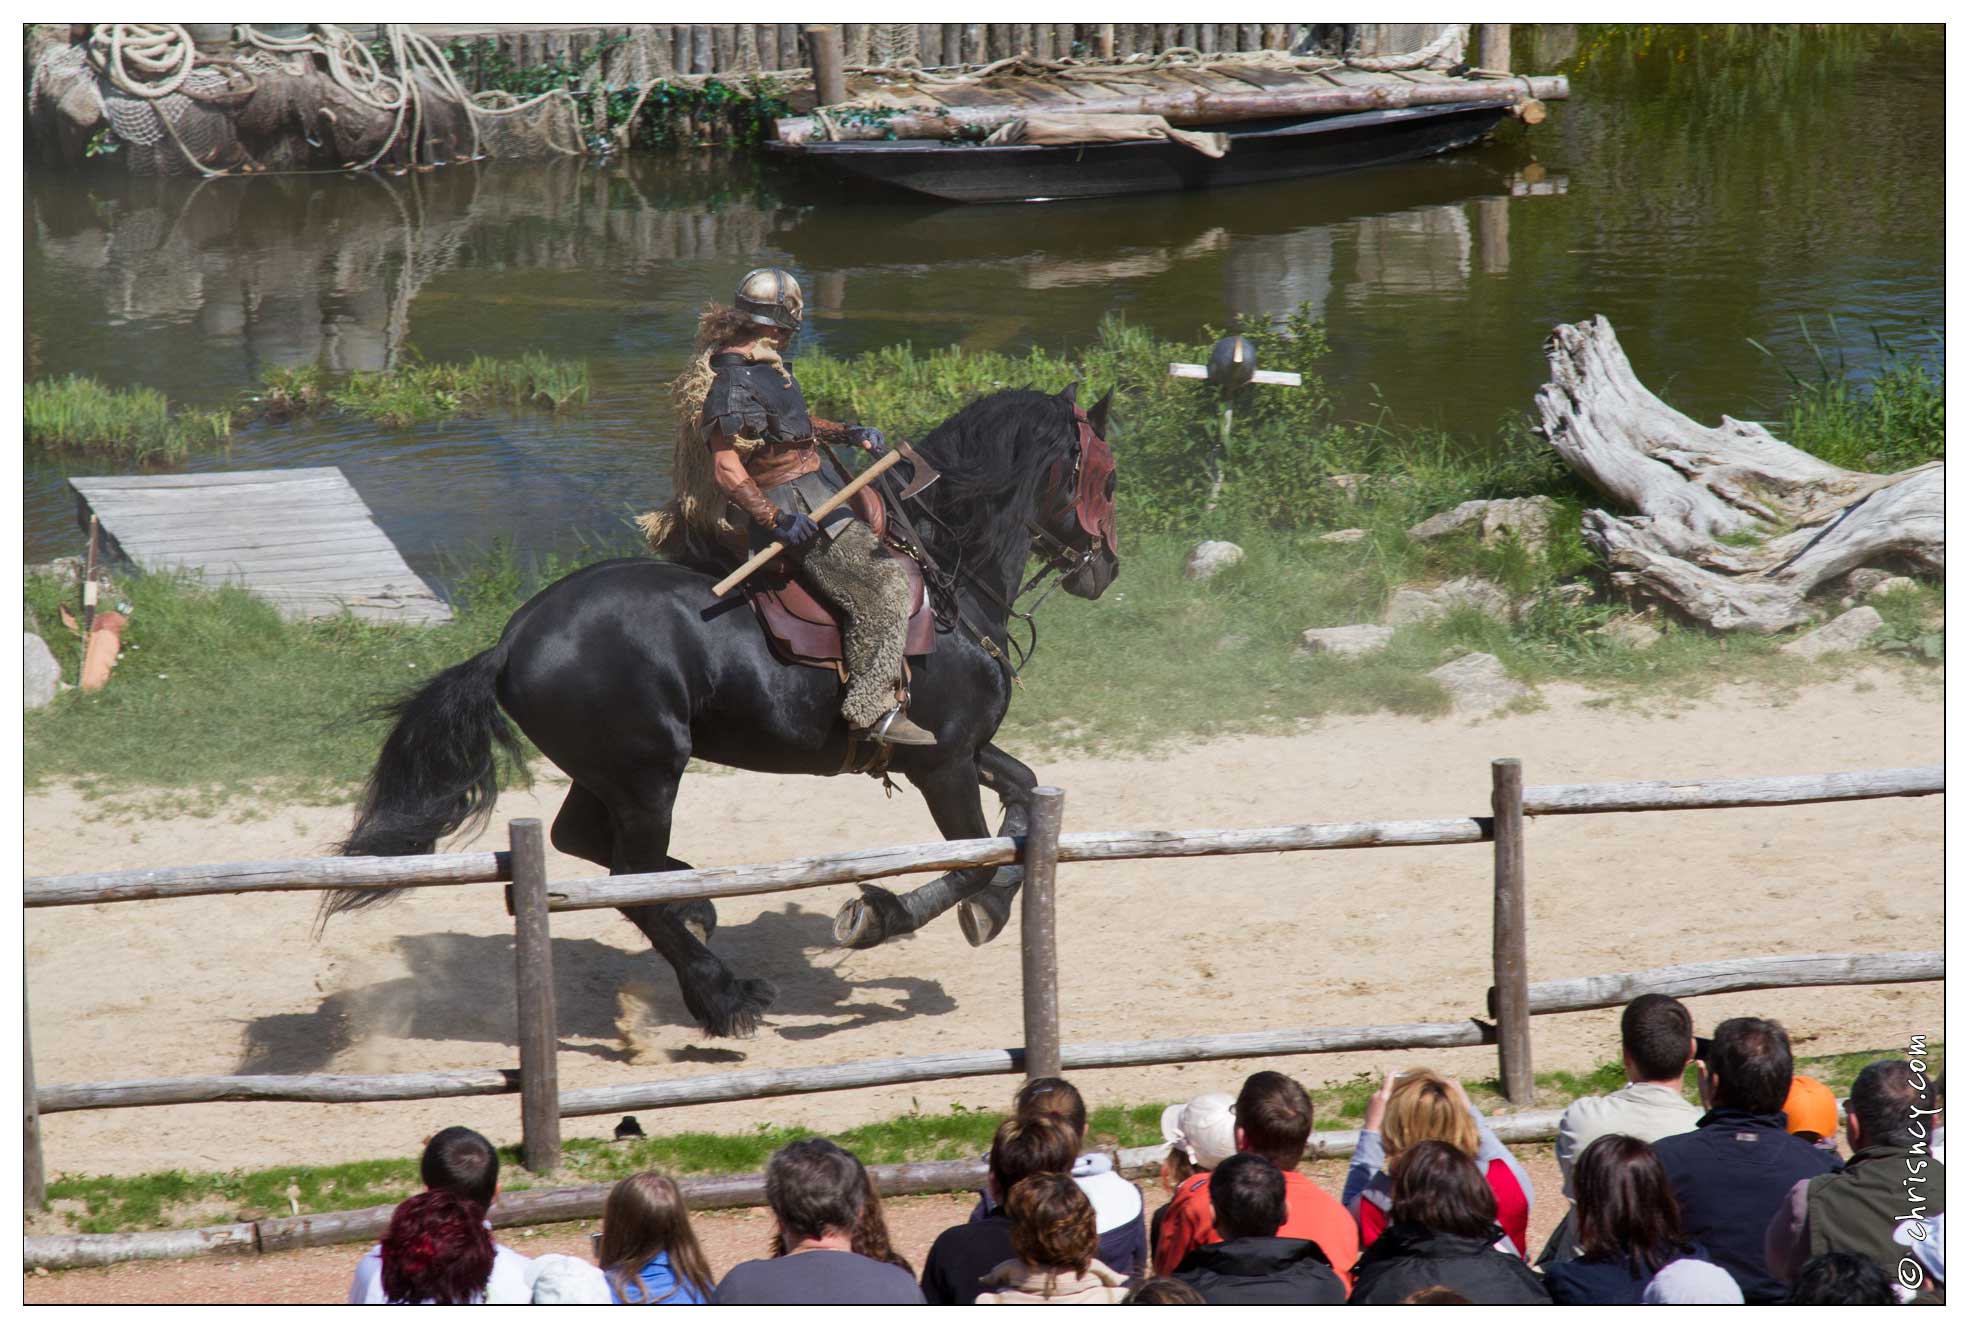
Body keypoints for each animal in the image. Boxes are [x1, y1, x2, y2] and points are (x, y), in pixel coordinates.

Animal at [330, 383, 1118, 1039]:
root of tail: (509, 642)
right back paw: (722, 993)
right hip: (648, 777)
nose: (1106, 569)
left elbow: (1024, 801)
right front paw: (878, 916)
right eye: (1104, 477)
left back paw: (698, 908)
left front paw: (991, 908)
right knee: (633, 878)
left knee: (590, 846)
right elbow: (974, 858)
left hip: (611, 775)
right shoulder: (944, 764)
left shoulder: (958, 751)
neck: (947, 578)